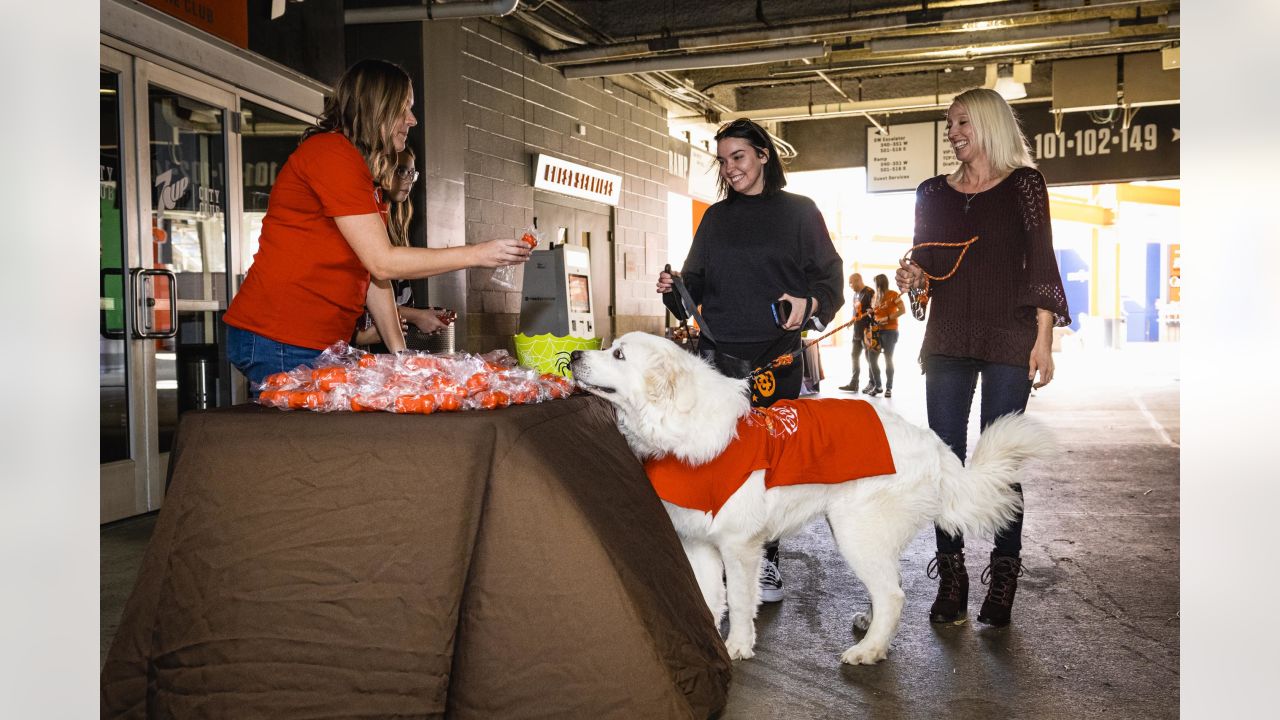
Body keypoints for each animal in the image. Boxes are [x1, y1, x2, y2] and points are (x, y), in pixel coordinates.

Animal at [568, 333, 1049, 666]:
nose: (573, 357)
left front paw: (737, 646)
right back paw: (870, 628)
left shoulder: (739, 546)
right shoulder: (700, 543)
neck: (678, 427)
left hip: (855, 531)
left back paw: (869, 650)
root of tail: (932, 444)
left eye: (619, 355)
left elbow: (738, 600)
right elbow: (708, 596)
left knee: (893, 594)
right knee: (887, 586)